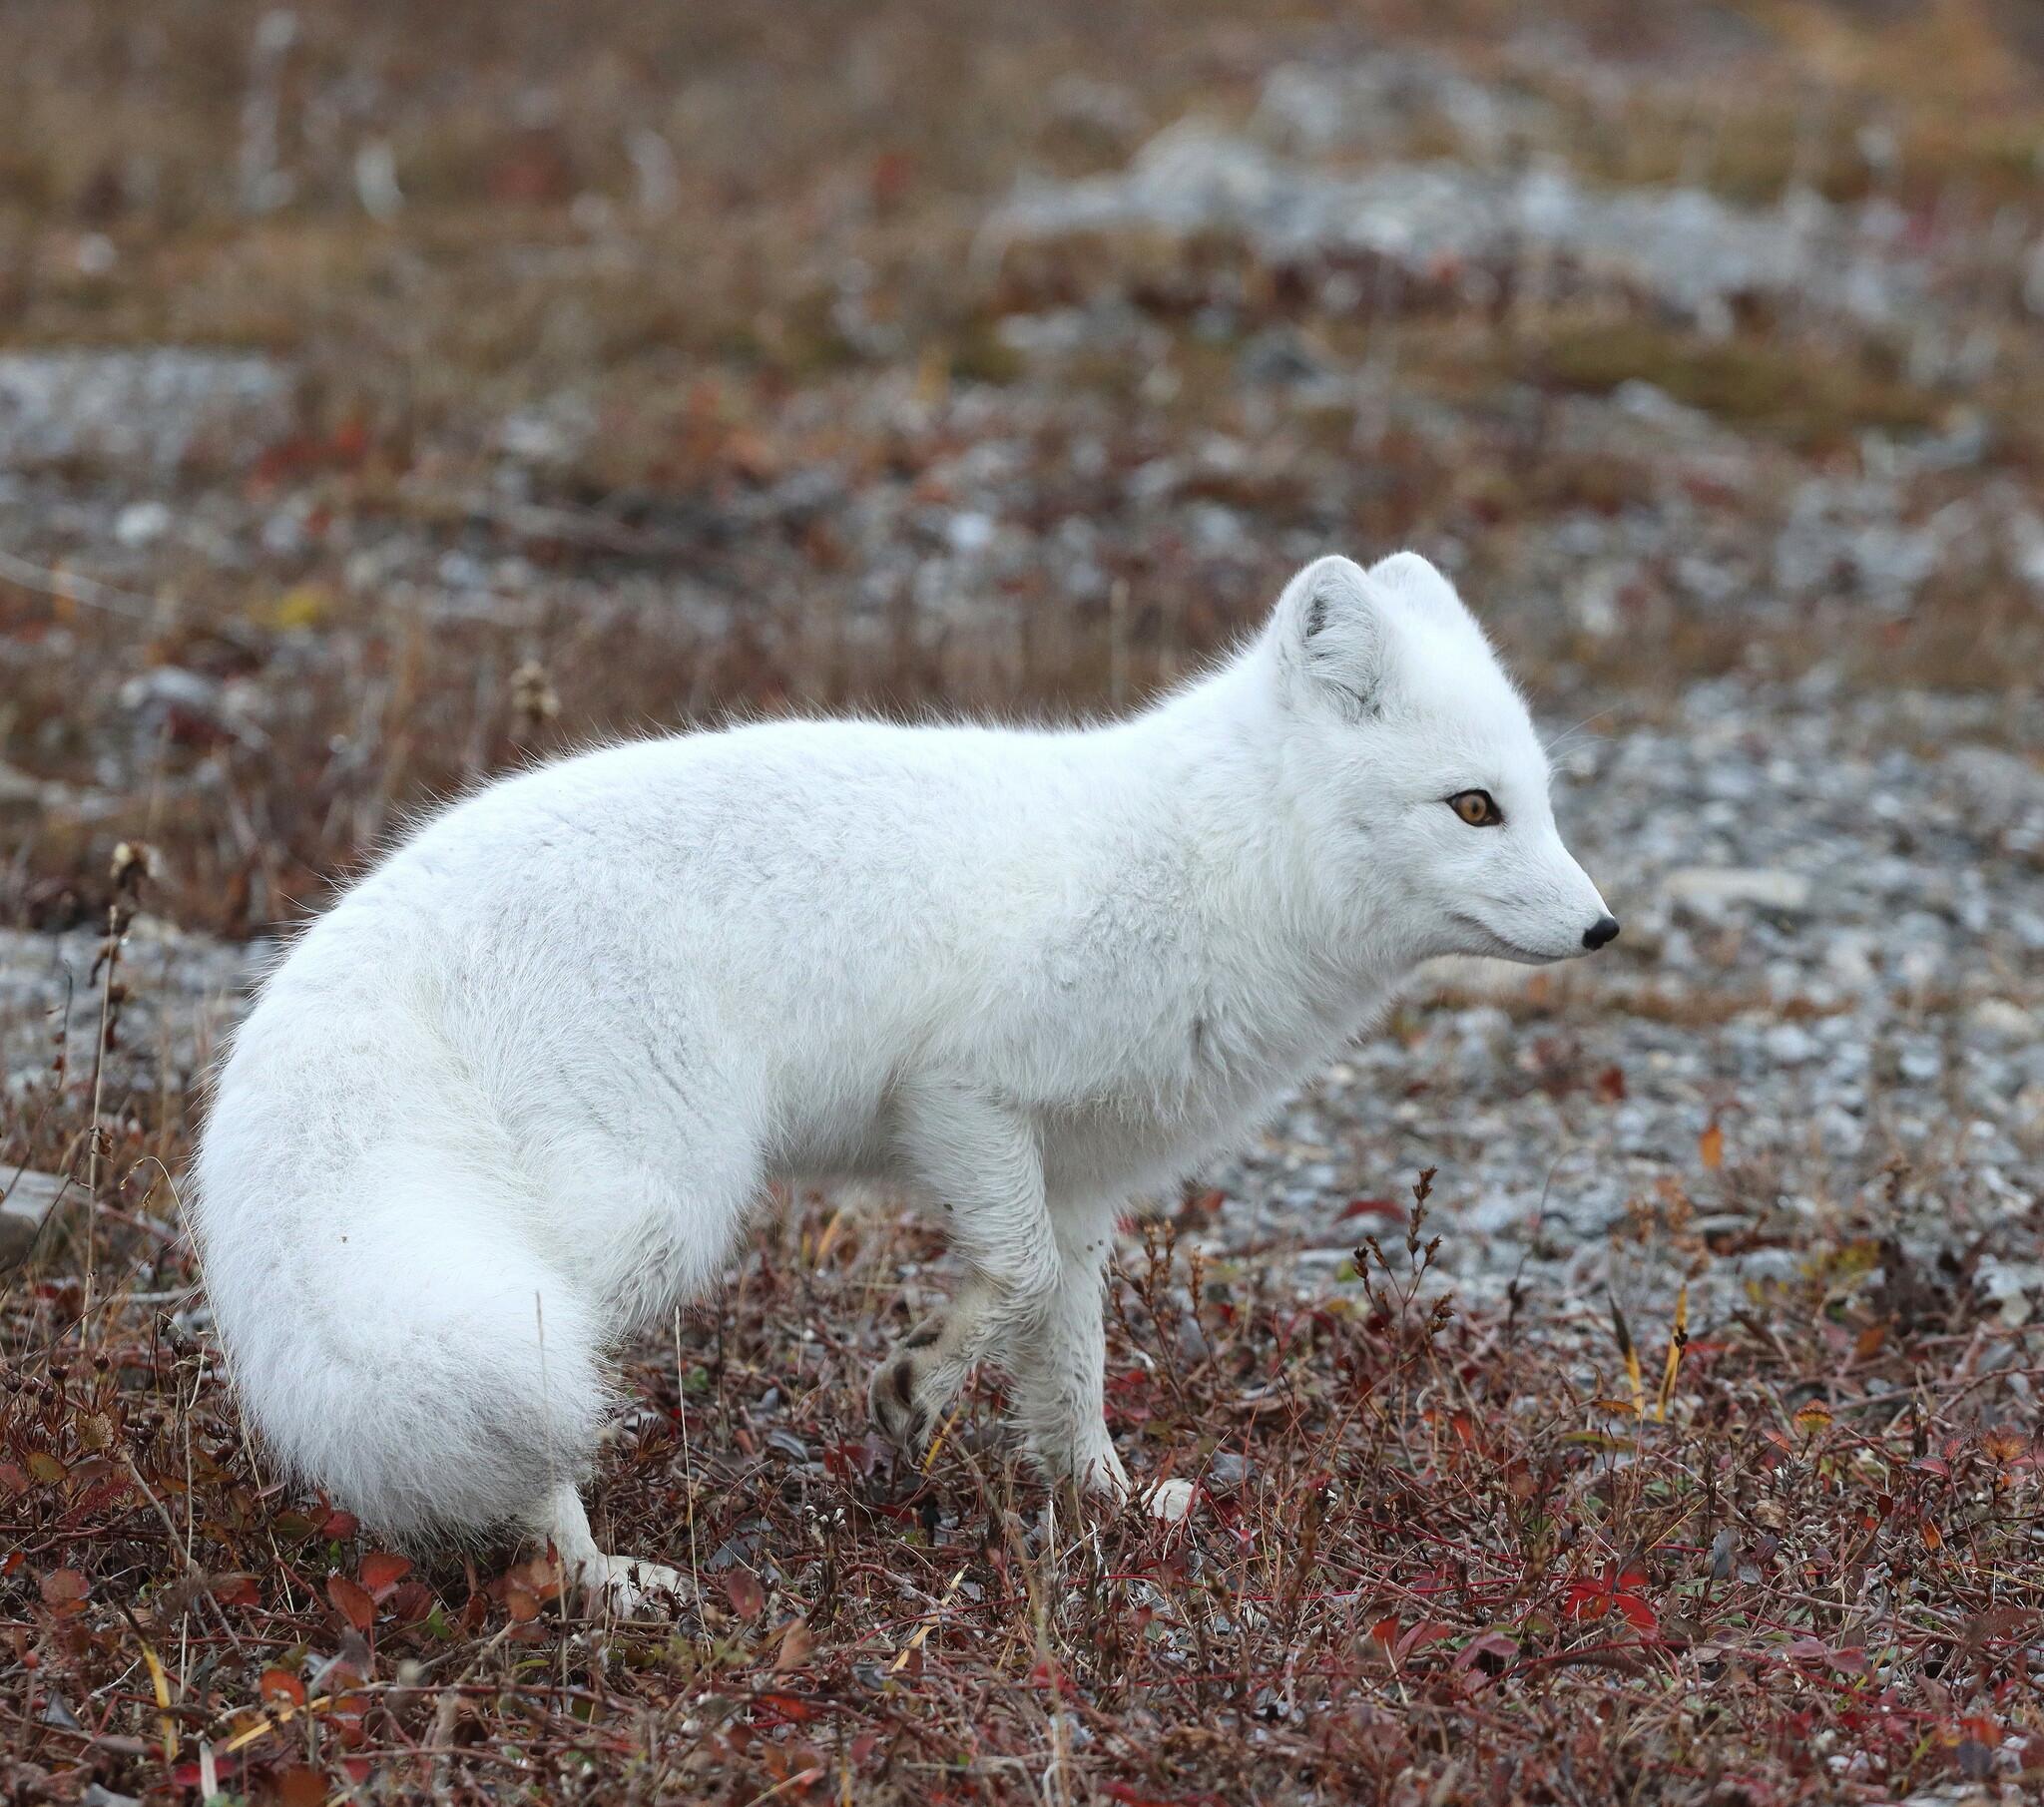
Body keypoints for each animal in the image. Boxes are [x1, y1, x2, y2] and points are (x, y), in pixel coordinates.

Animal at [190, 551, 1617, 1608]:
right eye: (1472, 806)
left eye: (1540, 800)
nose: (1603, 927)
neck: (1216, 867)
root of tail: (375, 918)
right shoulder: (964, 1094)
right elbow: (1015, 1279)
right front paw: (915, 1380)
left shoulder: (1078, 1180)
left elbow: (1069, 1355)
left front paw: (1101, 1501)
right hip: (657, 1210)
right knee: (549, 1377)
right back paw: (588, 1571)